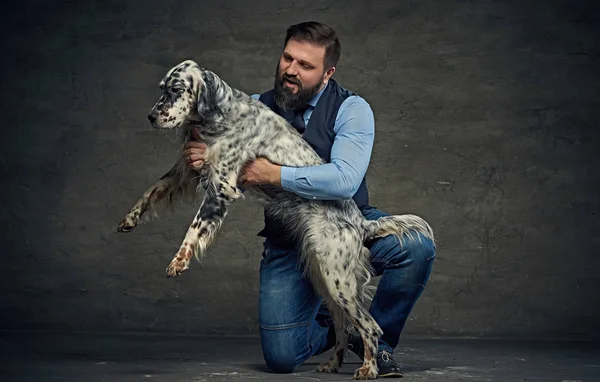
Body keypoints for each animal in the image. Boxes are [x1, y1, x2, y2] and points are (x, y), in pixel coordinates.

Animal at [118, 59, 436, 380]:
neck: (220, 114)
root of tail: (360, 222)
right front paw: (130, 219)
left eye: (176, 90)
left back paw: (369, 368)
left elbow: (194, 227)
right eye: (162, 89)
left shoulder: (222, 186)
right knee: (340, 323)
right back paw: (333, 363)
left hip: (339, 279)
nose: (151, 116)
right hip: (324, 277)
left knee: (369, 325)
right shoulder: (189, 169)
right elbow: (151, 190)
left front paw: (179, 260)